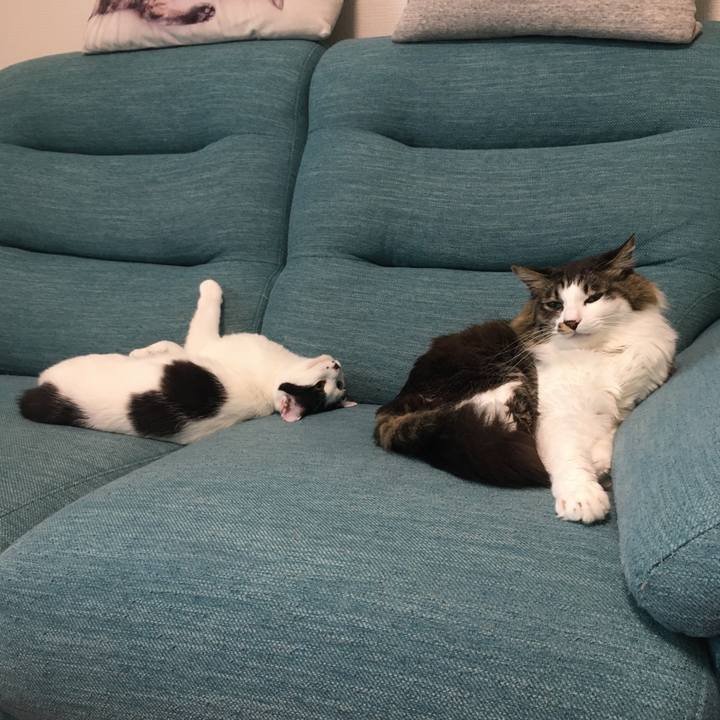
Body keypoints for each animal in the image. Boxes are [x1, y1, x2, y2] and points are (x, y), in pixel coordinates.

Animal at [19, 279, 355, 444]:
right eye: (329, 385)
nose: (337, 365)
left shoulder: (204, 344)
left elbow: (198, 319)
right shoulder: (198, 351)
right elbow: (172, 346)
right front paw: (146, 351)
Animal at [375, 236, 677, 524]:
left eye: (593, 298)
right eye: (555, 305)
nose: (570, 322)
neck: (599, 352)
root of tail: (395, 403)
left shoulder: (637, 397)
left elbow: (612, 430)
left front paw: (600, 460)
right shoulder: (557, 414)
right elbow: (570, 457)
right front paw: (583, 498)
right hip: (505, 383)